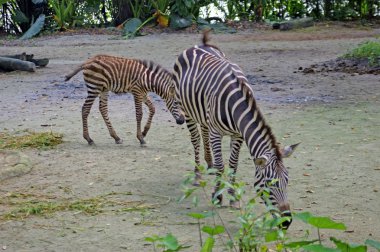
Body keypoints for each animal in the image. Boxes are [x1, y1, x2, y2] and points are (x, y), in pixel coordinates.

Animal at [173, 32, 300, 228]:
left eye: (287, 180)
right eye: (269, 183)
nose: (286, 222)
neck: (236, 104)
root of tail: (200, 45)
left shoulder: (239, 135)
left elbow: (233, 165)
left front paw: (232, 197)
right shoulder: (217, 133)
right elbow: (221, 166)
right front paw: (217, 196)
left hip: (202, 113)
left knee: (203, 133)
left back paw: (208, 164)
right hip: (186, 111)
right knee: (195, 140)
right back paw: (198, 175)